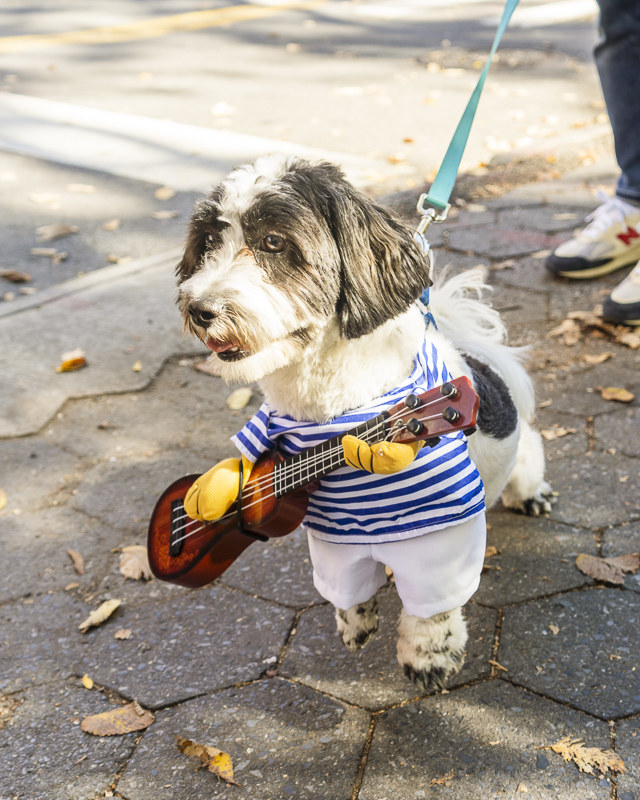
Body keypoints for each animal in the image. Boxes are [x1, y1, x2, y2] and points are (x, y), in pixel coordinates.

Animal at [176, 153, 556, 692]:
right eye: (208, 241)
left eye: (273, 242)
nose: (200, 308)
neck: (334, 411)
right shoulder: (333, 537)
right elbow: (348, 590)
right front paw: (355, 623)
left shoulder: (439, 537)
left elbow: (432, 612)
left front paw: (428, 658)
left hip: (519, 454)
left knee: (528, 462)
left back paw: (532, 494)